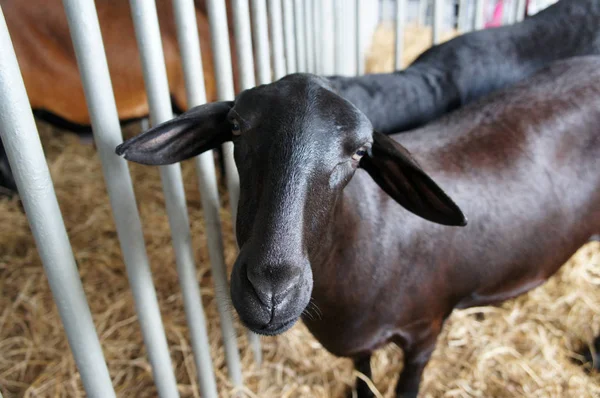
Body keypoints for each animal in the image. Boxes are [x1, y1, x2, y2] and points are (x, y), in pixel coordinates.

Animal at [116, 56, 600, 398]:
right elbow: (363, 383)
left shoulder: (425, 333)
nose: (271, 292)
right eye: (235, 126)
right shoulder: (360, 345)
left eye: (360, 152)